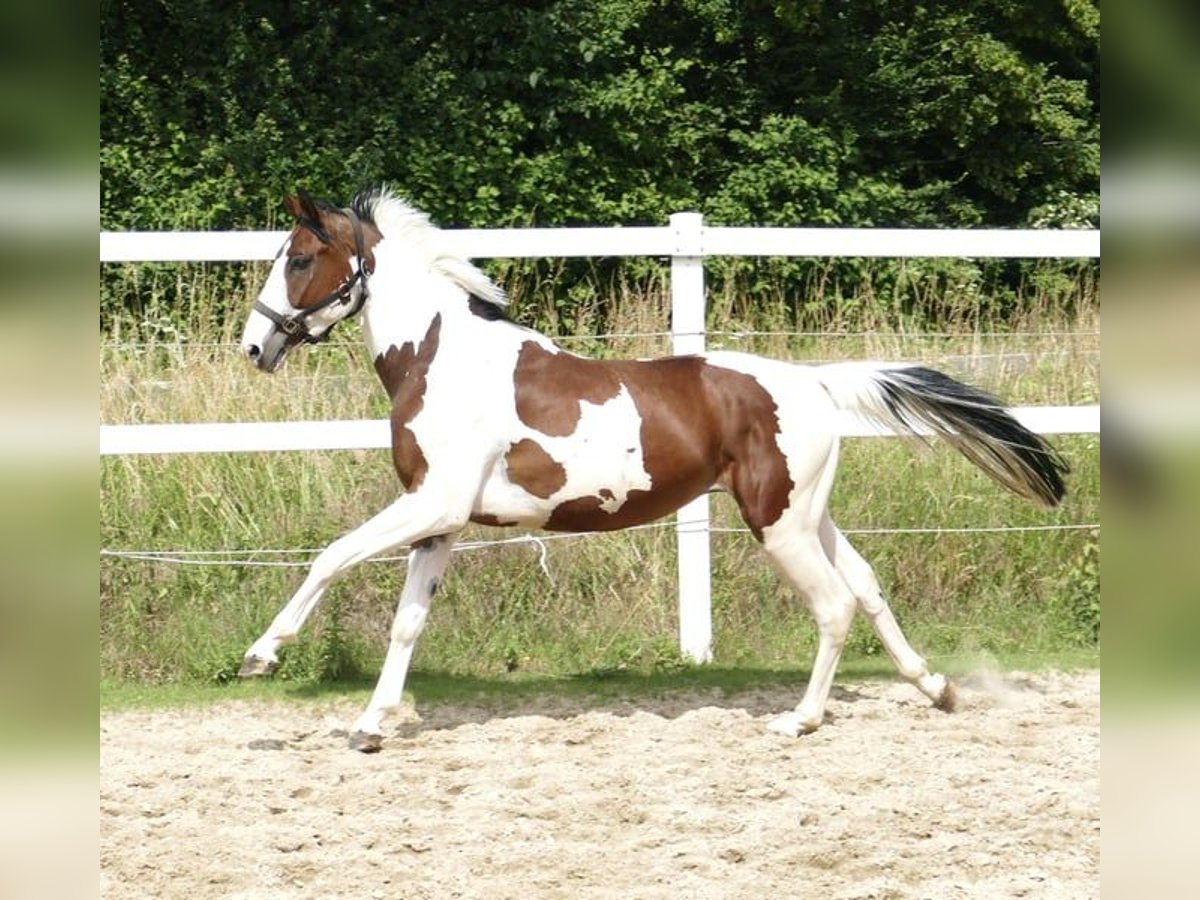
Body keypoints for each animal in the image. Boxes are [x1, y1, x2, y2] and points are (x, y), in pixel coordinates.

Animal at [236, 188, 1070, 753]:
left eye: (301, 259)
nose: (255, 346)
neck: (441, 362)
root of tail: (815, 382)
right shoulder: (440, 520)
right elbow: (408, 621)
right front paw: (371, 725)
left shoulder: (431, 504)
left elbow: (329, 557)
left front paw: (261, 655)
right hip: (806, 515)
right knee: (866, 586)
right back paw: (936, 688)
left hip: (778, 525)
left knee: (834, 604)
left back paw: (799, 720)